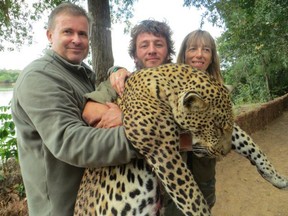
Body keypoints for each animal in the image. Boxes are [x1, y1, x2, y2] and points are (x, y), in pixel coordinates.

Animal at [73, 63, 286, 216]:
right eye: (216, 128)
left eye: (224, 127)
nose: (225, 153)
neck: (166, 89)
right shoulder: (163, 151)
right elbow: (193, 199)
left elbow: (249, 143)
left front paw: (276, 177)